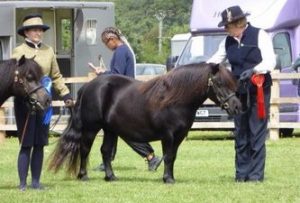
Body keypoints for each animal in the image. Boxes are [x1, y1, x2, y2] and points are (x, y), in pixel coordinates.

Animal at [48, 62, 241, 184]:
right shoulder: (168, 135)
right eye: (219, 82)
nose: (236, 107)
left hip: (110, 130)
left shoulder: (179, 136)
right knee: (85, 149)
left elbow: (173, 157)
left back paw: (111, 177)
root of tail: (88, 87)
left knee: (105, 151)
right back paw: (83, 176)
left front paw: (171, 177)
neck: (176, 99)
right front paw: (167, 179)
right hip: (91, 128)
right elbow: (168, 156)